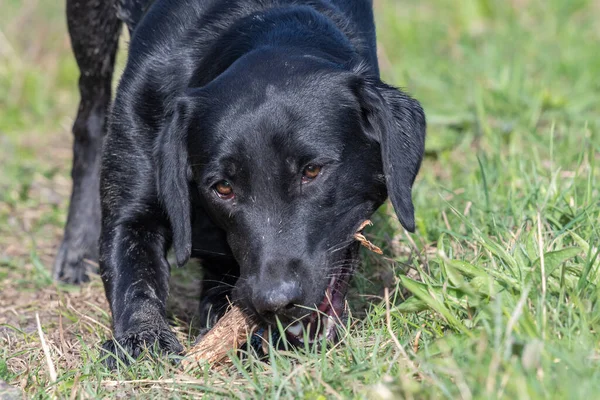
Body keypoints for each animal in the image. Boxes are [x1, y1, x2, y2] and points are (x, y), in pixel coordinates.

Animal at [54, 0, 424, 366]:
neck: (265, 19)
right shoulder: (134, 202)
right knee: (90, 121)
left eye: (312, 170)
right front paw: (143, 339)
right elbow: (133, 275)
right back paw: (76, 250)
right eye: (223, 187)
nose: (274, 301)